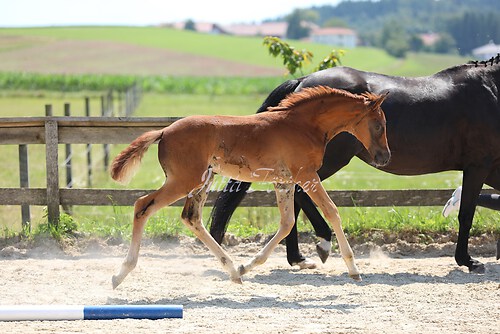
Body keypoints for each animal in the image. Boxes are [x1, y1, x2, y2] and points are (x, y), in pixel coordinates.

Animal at [110, 86, 390, 288]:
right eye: (379, 125)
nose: (385, 157)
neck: (303, 125)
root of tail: (165, 131)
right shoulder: (307, 176)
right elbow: (332, 211)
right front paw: (354, 270)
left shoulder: (284, 181)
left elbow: (286, 222)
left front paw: (249, 265)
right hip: (183, 180)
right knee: (142, 206)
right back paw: (121, 273)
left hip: (202, 180)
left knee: (191, 218)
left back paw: (234, 270)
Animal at [209, 54, 500, 274]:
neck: (491, 91)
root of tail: (303, 82)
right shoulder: (478, 166)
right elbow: (467, 213)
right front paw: (469, 261)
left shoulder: (492, 169)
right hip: (326, 161)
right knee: (301, 195)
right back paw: (322, 243)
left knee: (294, 201)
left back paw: (299, 258)